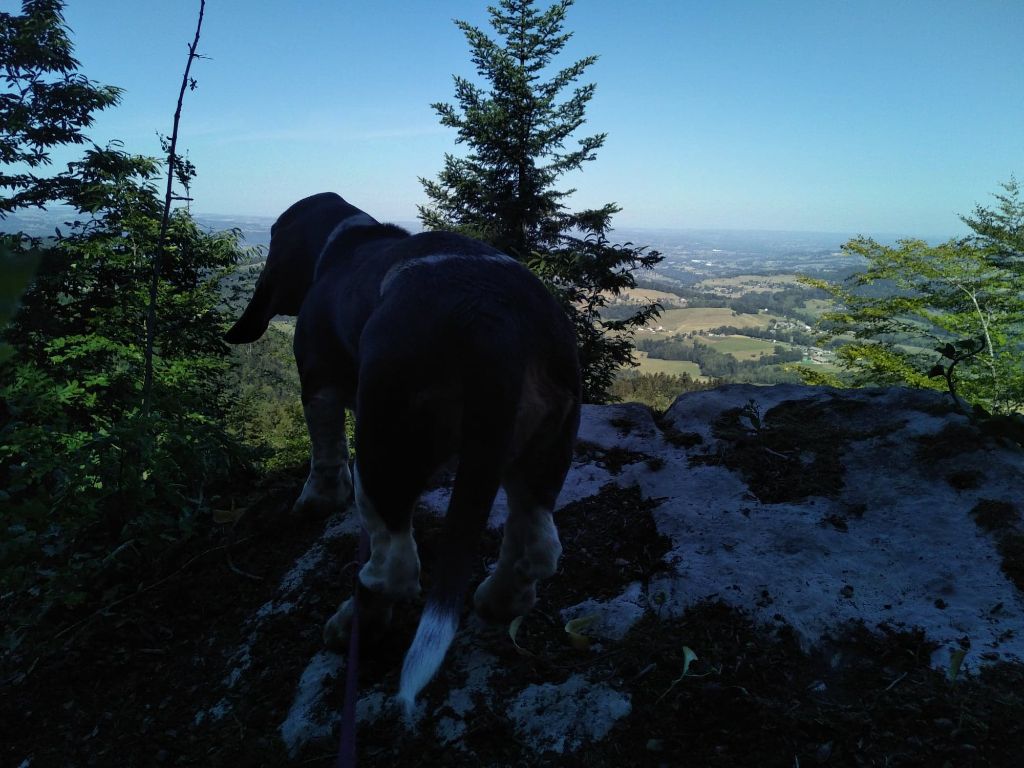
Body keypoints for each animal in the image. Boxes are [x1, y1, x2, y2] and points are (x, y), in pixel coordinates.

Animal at [227, 193, 581, 716]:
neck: (345, 239)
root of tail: (492, 317)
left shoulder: (317, 383)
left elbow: (324, 454)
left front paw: (315, 502)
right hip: (540, 453)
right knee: (536, 544)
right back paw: (496, 600)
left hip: (383, 450)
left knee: (392, 568)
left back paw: (352, 626)